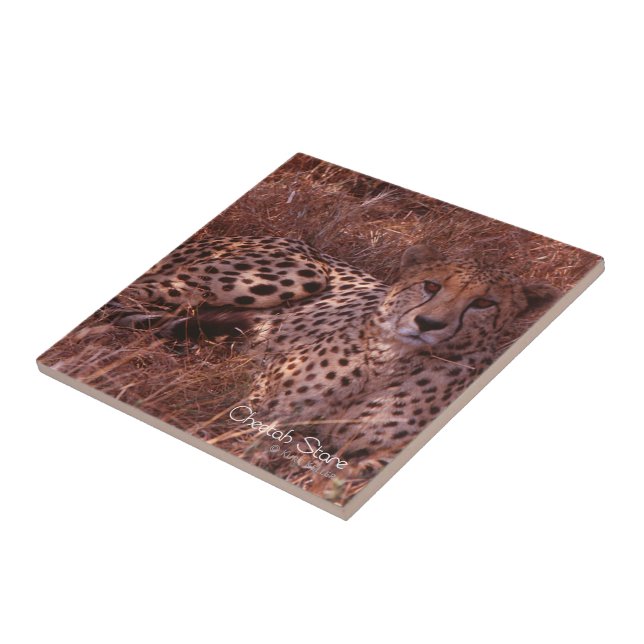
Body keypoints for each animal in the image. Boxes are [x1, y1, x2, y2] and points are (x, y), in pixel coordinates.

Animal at [108, 235, 559, 472]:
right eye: (430, 285)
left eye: (484, 303)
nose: (428, 324)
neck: (390, 362)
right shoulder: (260, 404)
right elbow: (277, 438)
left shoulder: (370, 459)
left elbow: (327, 461)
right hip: (298, 274)